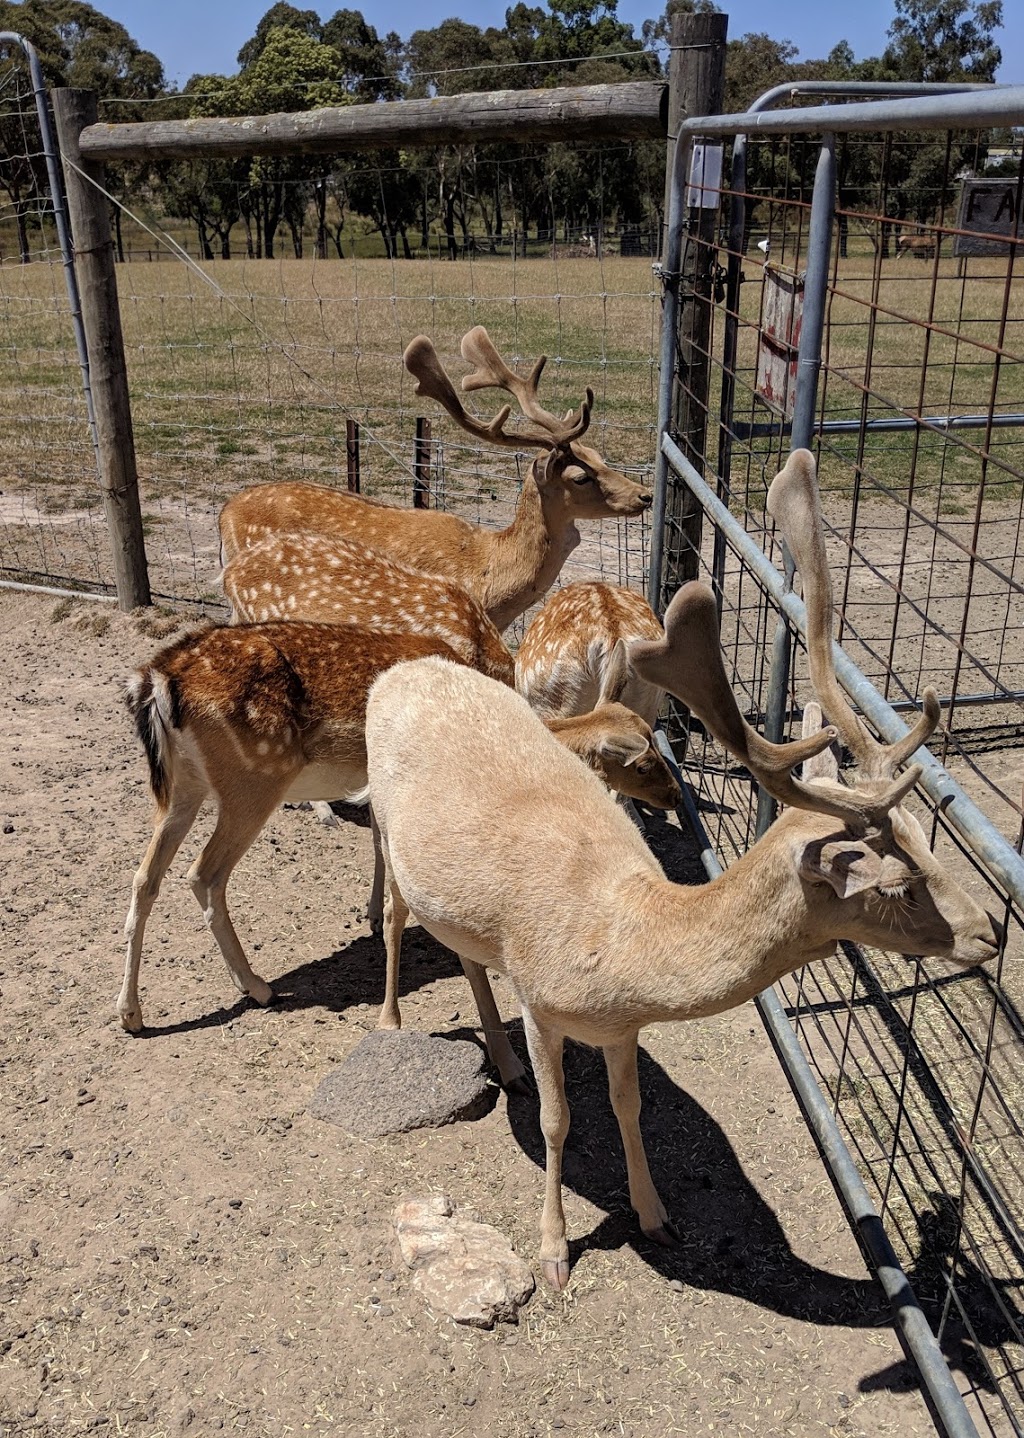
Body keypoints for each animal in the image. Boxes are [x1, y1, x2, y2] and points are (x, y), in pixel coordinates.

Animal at [122, 618, 678, 1035]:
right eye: (645, 763)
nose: (674, 798)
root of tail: (157, 681)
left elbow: (378, 843)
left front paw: (370, 914)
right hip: (252, 782)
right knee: (203, 873)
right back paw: (257, 987)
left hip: (180, 786)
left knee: (145, 876)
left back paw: (131, 1014)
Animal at [368, 448, 1000, 1294]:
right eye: (896, 888)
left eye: (928, 843)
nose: (991, 931)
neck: (617, 949)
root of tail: (400, 671)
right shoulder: (541, 997)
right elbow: (558, 1121)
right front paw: (555, 1251)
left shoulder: (621, 1026)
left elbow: (629, 1109)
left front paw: (656, 1216)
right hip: (384, 827)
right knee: (393, 913)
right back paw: (390, 1023)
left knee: (466, 953)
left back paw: (500, 1062)